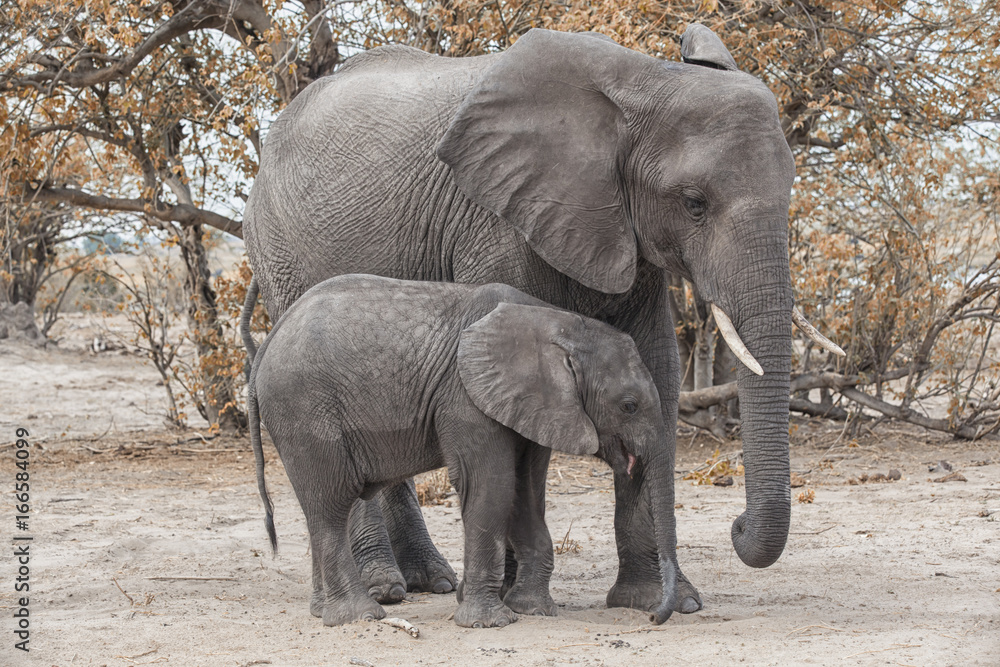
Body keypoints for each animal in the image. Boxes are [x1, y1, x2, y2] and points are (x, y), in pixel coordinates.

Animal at [249, 274, 678, 627]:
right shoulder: (466, 397)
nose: (653, 617)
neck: (557, 322)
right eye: (629, 406)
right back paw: (360, 617)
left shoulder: (533, 404)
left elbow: (525, 492)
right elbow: (491, 486)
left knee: (317, 507)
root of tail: (269, 338)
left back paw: (322, 611)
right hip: (303, 408)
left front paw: (533, 609)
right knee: (332, 504)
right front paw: (490, 622)